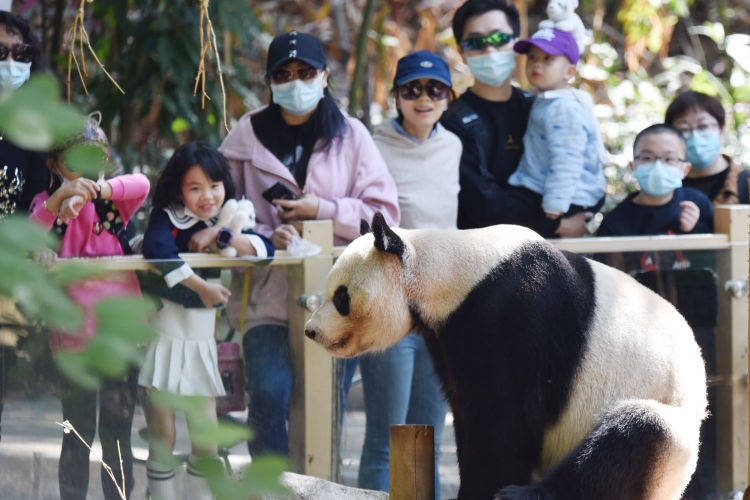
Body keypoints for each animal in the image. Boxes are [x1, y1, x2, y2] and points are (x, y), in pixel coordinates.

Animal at [302, 213, 708, 498]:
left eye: (341, 297)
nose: (311, 330)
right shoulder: (450, 338)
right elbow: (468, 411)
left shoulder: (515, 312)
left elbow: (502, 416)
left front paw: (485, 489)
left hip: (670, 435)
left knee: (632, 438)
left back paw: (526, 494)